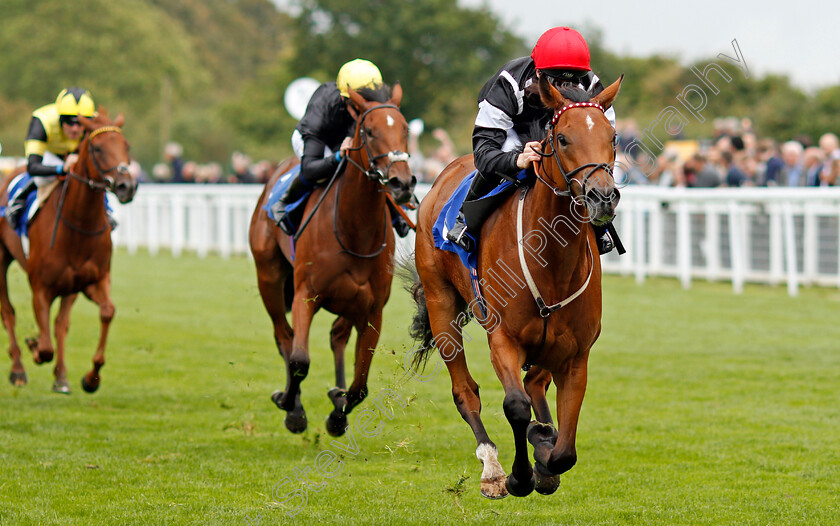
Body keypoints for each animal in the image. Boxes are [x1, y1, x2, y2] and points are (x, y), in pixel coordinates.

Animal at [0, 109, 138, 394]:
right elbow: (45, 346)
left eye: (126, 146)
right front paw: (34, 347)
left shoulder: (92, 280)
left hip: (70, 286)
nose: (127, 186)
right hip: (0, 258)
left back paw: (61, 377)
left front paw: (91, 378)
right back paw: (18, 368)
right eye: (97, 148)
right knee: (8, 312)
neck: (79, 224)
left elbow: (106, 312)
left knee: (61, 324)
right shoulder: (40, 288)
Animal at [248, 83, 416, 438]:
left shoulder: (372, 309)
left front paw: (338, 412)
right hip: (269, 278)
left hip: (349, 302)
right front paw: (291, 407)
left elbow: (360, 385)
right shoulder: (305, 295)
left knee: (337, 337)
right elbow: (300, 360)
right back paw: (294, 403)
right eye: (369, 131)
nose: (402, 183)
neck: (354, 231)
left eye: (405, 129)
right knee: (284, 336)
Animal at [406, 74, 624, 500]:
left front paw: (545, 454)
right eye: (563, 138)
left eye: (612, 136)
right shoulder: (504, 339)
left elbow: (565, 449)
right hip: (441, 304)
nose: (602, 197)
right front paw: (520, 476)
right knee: (466, 390)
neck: (552, 261)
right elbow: (516, 407)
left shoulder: (576, 354)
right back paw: (491, 467)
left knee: (535, 383)